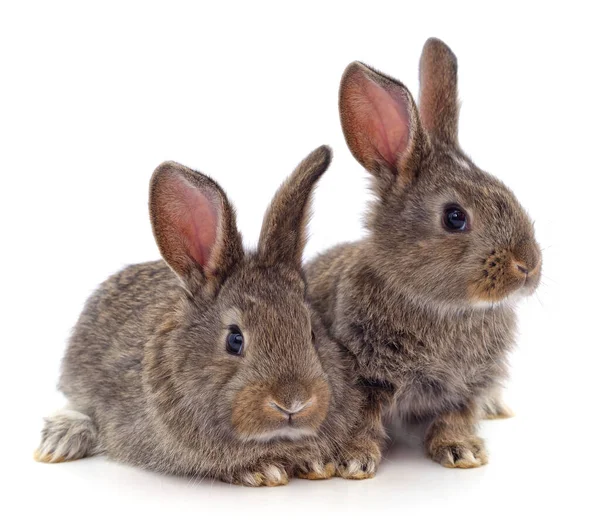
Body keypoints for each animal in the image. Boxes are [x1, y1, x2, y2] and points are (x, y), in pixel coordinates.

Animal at [34, 145, 376, 486]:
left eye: (311, 333)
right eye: (234, 340)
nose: (293, 402)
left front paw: (317, 463)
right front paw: (265, 470)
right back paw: (59, 440)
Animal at [308, 39, 540, 468]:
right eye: (454, 217)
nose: (528, 266)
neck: (443, 308)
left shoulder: (468, 385)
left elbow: (457, 415)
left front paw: (462, 451)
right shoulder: (362, 378)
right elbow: (360, 421)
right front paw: (351, 461)